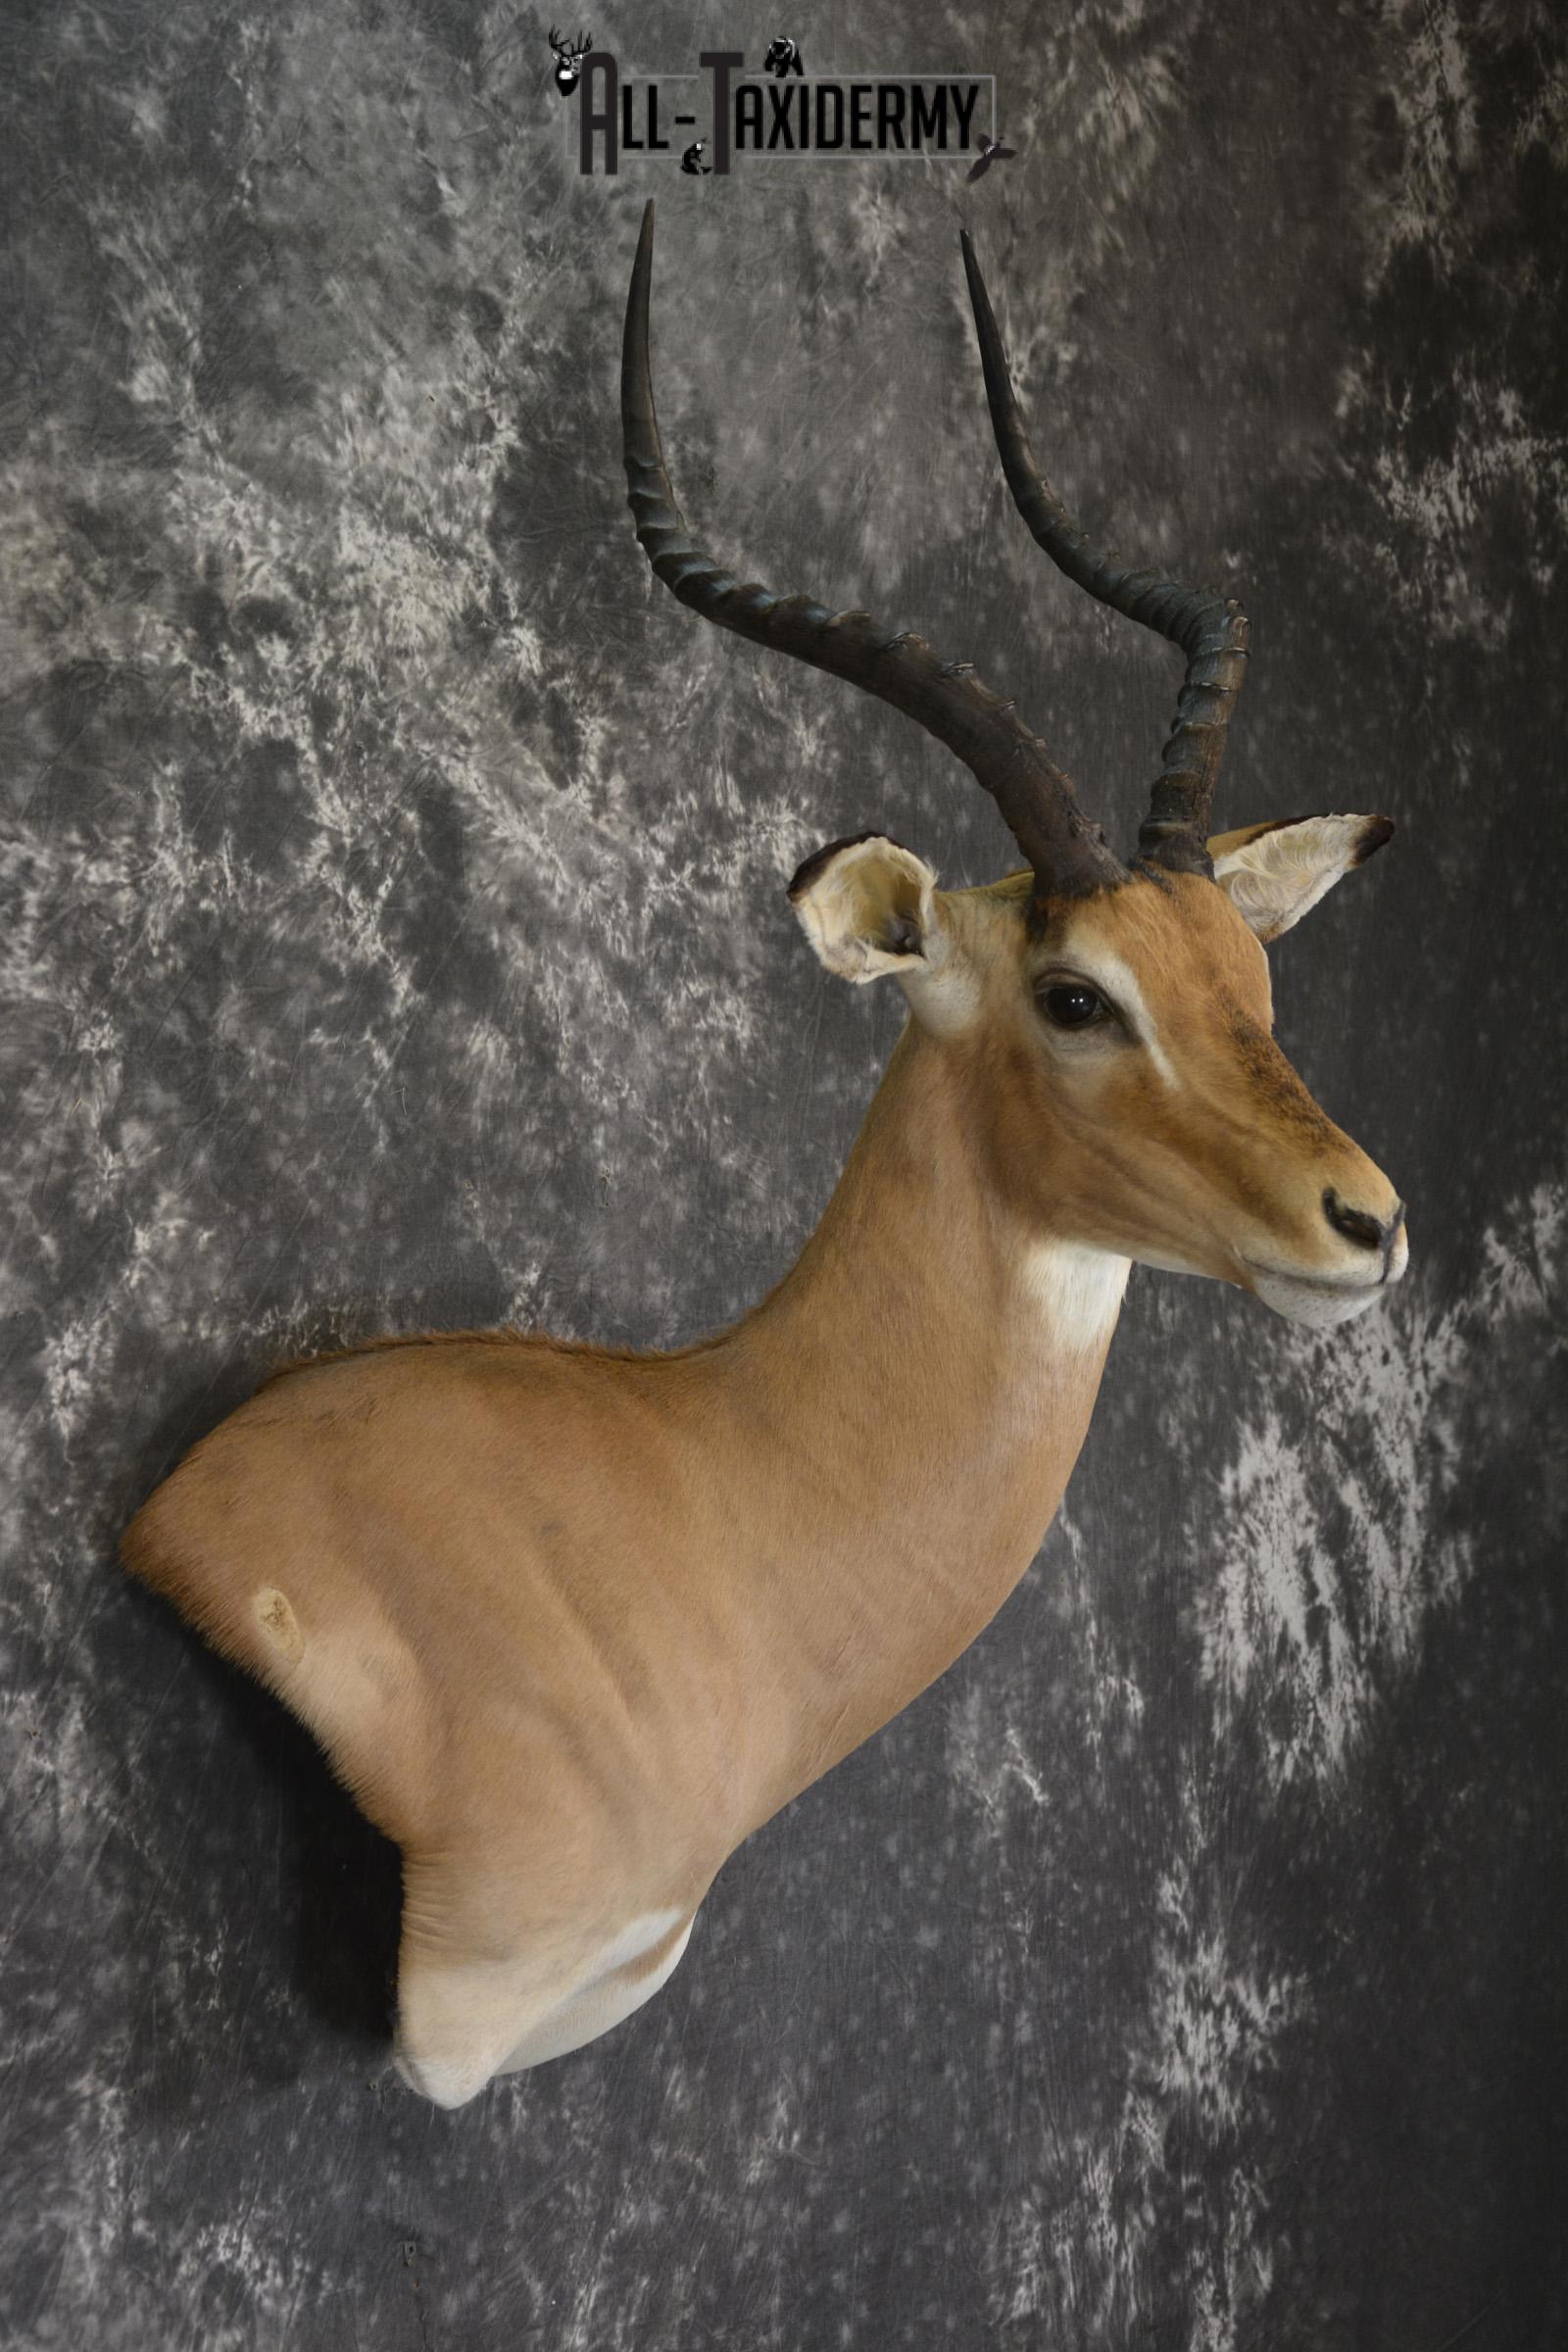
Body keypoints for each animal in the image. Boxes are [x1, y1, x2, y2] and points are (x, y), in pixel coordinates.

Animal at [121, 203, 1408, 2110]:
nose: (1368, 1225)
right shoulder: (460, 2025)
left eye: (1248, 982)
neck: (721, 1506)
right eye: (1077, 994)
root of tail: (167, 1518)